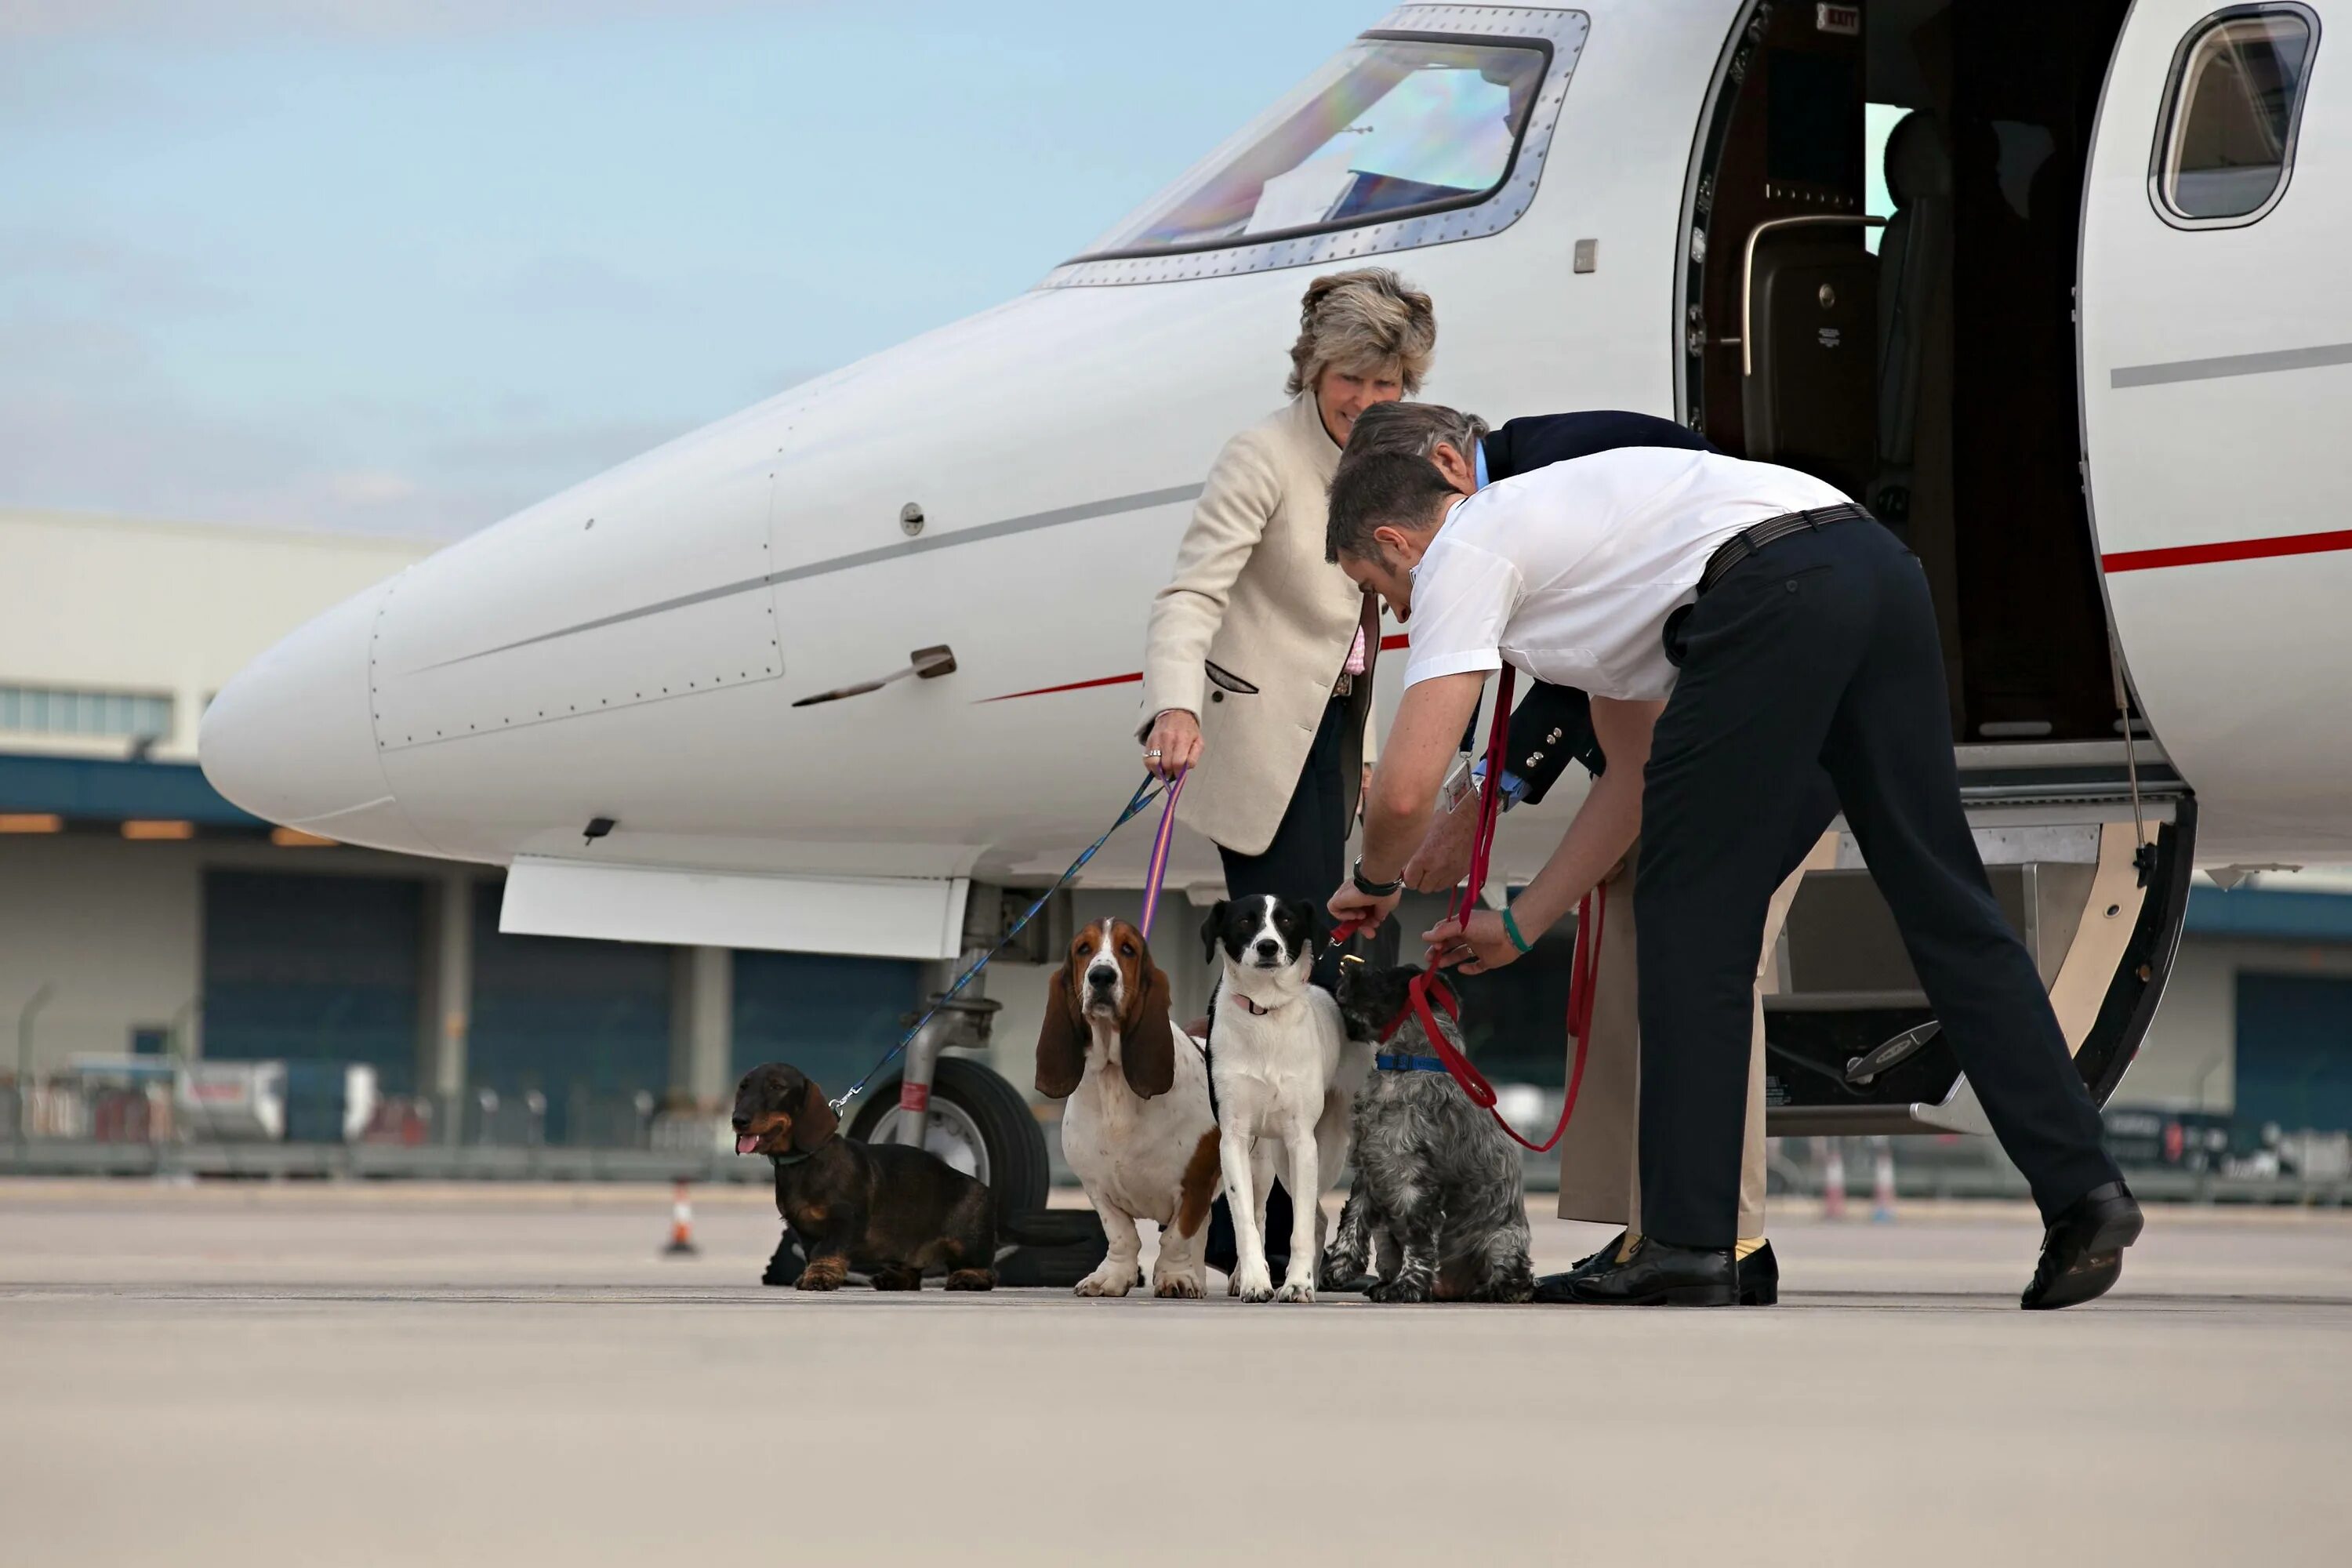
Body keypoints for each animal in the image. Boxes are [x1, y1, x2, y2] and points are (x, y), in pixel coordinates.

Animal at [1204, 893, 1374, 1298]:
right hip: (1266, 1156)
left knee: (1315, 1215)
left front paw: (1297, 1284)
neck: (1264, 1012)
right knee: (1266, 1211)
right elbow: (1245, 1220)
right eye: (1244, 922)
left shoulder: (1302, 1141)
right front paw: (1254, 1280)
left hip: (1324, 1148)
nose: (1268, 946)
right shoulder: (1233, 1139)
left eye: (1286, 921)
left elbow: (1299, 1227)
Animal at [1327, 964, 1543, 1307]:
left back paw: (1495, 1291)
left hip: (1503, 1240)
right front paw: (1339, 1268)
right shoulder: (1367, 1169)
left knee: (1520, 1281)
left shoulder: (1417, 1184)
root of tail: (1451, 1290)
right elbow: (1352, 1221)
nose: (1345, 971)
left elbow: (1418, 1244)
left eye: (1382, 977)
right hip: (1385, 1234)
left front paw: (1405, 1288)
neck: (1403, 1067)